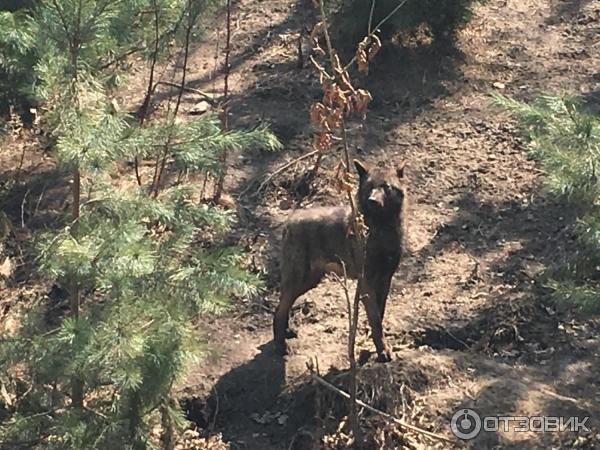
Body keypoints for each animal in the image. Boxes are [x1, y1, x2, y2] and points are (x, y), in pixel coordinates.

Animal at [274, 159, 408, 362]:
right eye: (369, 187)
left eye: (386, 187)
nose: (372, 200)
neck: (381, 231)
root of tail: (289, 222)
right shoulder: (366, 283)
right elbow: (376, 321)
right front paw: (383, 351)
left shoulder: (385, 280)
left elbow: (380, 314)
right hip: (298, 281)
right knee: (279, 310)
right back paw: (280, 345)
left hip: (307, 282)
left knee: (283, 306)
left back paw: (287, 332)